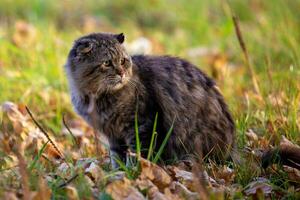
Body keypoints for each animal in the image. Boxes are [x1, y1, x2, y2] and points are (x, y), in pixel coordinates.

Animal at [65, 32, 237, 167]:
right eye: (107, 63)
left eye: (122, 61)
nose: (121, 73)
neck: (96, 97)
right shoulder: (114, 136)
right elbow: (117, 157)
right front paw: (119, 172)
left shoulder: (142, 123)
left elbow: (139, 153)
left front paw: (135, 171)